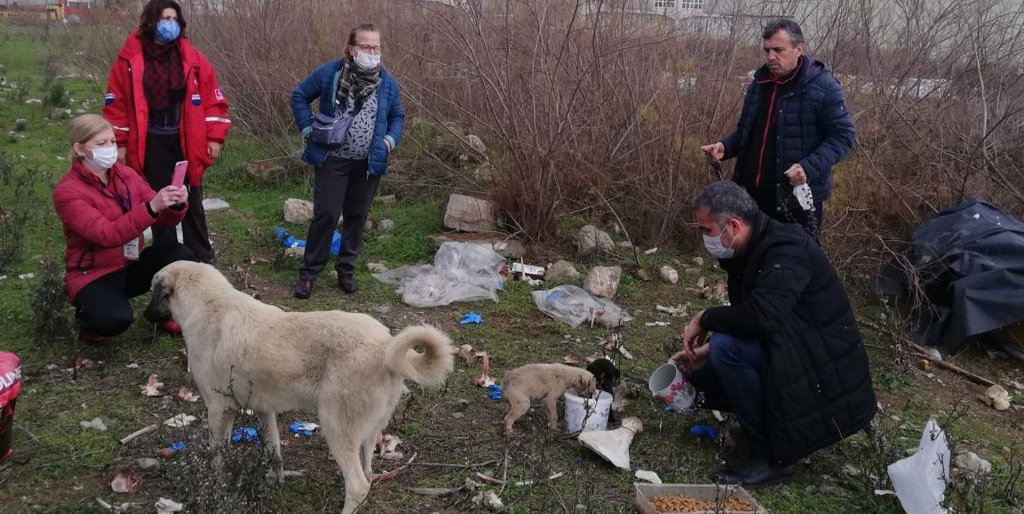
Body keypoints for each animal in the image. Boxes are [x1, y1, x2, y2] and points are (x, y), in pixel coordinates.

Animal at [143, 262, 452, 511]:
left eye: (153, 291)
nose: (145, 316)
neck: (208, 303)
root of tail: (384, 346)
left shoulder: (219, 411)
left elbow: (217, 459)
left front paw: (216, 487)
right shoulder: (264, 409)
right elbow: (274, 451)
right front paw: (277, 482)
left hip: (335, 427)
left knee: (358, 485)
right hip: (368, 431)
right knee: (367, 471)